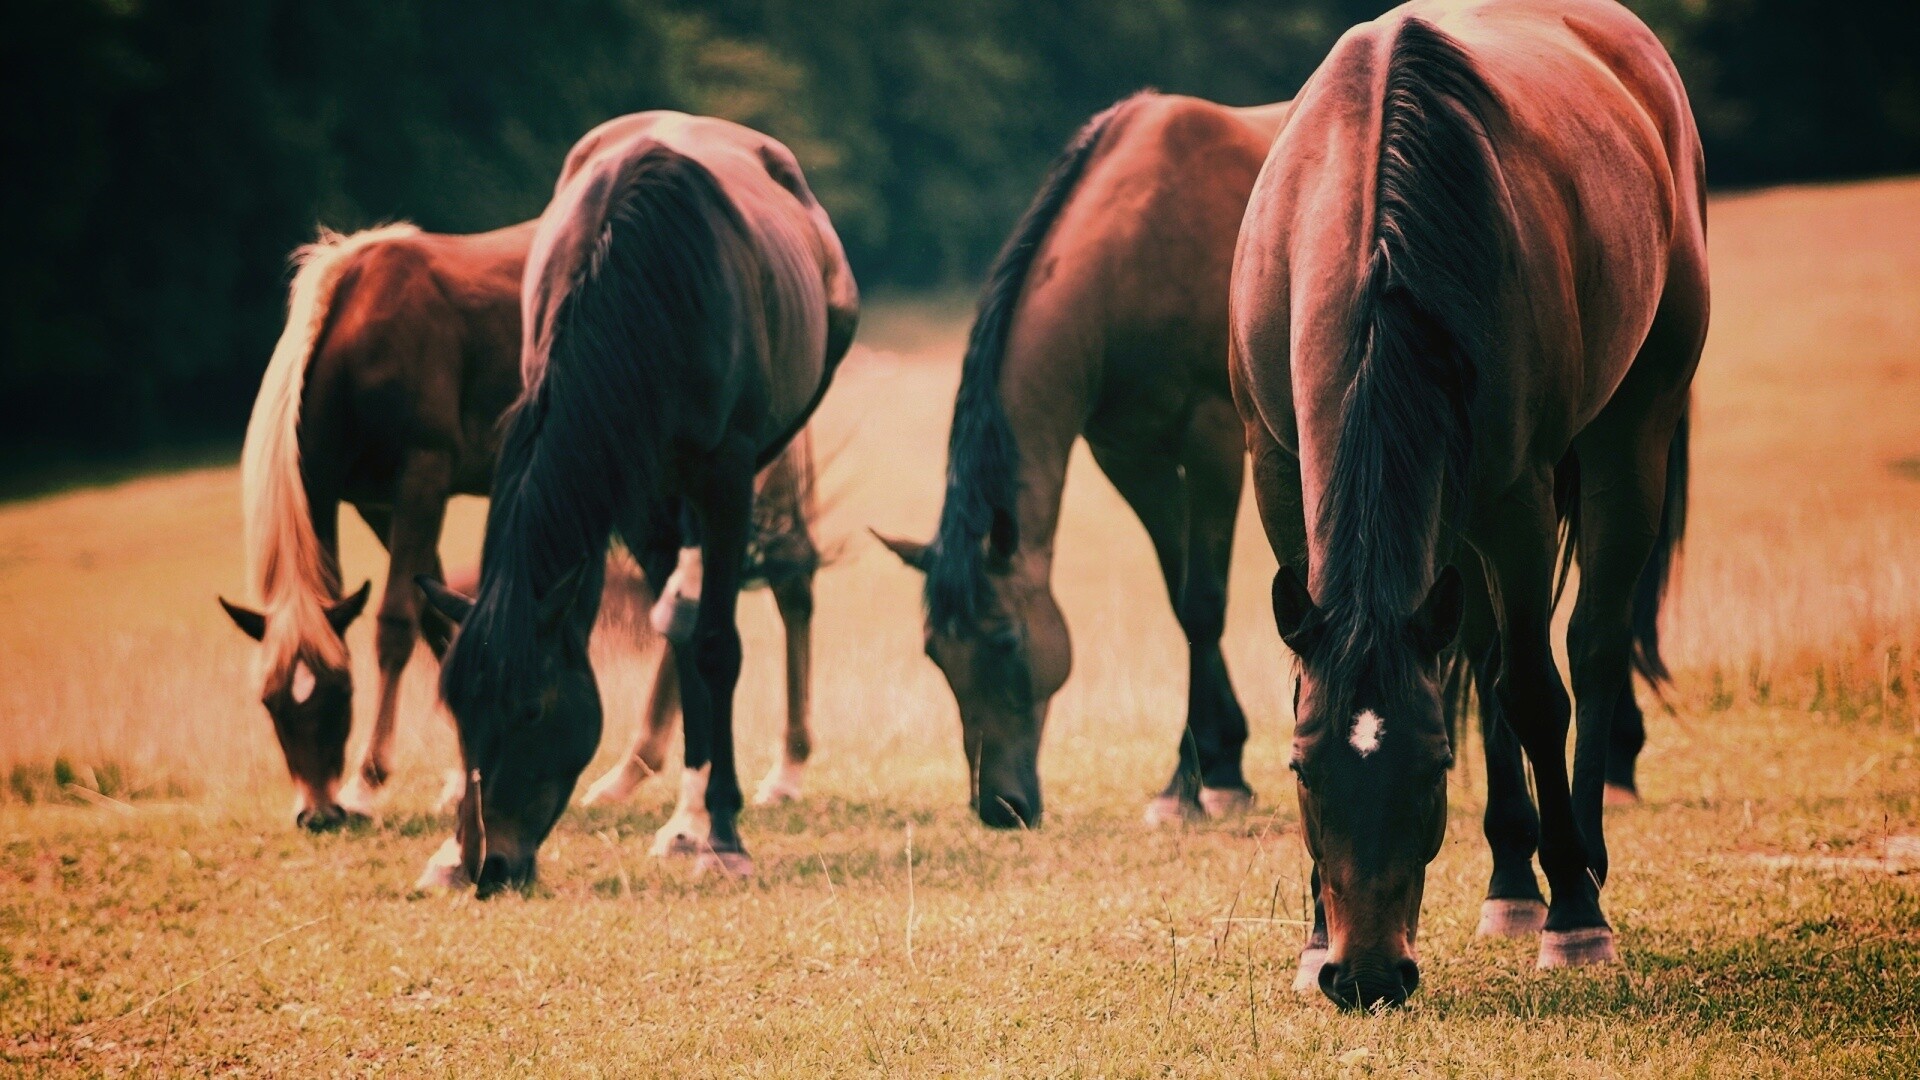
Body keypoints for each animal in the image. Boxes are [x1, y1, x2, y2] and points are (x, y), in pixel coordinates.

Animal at [219, 222, 824, 831]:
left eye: (339, 692)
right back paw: (635, 771)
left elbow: (396, 624)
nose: (318, 813)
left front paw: (367, 784)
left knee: (788, 587)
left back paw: (784, 771)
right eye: (270, 702)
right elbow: (441, 624)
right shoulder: (378, 503)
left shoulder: (422, 476)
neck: (359, 334)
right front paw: (460, 775)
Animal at [417, 111, 857, 893]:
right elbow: (682, 638)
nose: (487, 865)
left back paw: (744, 791)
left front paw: (721, 834)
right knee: (679, 618)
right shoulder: (634, 482)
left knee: (766, 587)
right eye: (457, 713)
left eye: (532, 711)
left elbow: (715, 644)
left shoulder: (725, 474)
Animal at [875, 92, 1294, 829]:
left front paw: (1195, 785)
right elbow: (1180, 600)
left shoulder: (1213, 440)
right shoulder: (1131, 457)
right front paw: (1214, 767)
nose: (1000, 807)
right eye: (935, 654)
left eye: (1007, 642)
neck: (1137, 252)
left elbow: (1204, 603)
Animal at [1230, 0, 1707, 1009]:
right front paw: (1313, 935)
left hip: (1630, 436)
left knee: (1590, 649)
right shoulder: (1279, 473)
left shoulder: (1516, 499)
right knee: (1485, 655)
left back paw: (1578, 867)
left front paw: (1575, 916)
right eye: (1301, 766)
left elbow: (1534, 692)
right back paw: (1511, 881)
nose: (1366, 977)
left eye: (1432, 766)